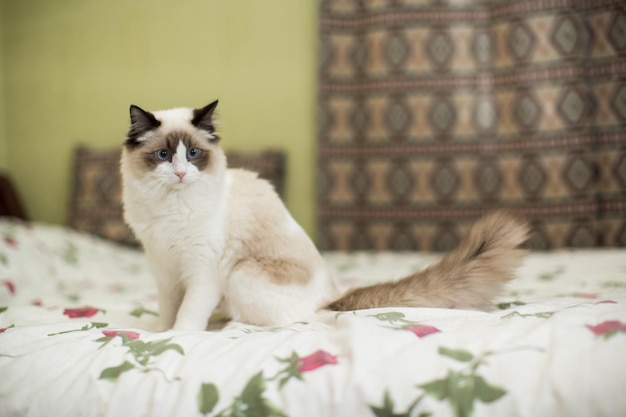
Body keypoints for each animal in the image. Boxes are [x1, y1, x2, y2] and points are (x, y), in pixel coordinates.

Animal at [118, 99, 528, 330]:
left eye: (193, 155)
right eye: (162, 156)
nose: (181, 173)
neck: (169, 208)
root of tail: (329, 300)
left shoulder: (202, 271)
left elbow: (187, 317)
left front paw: (178, 338)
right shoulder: (165, 268)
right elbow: (168, 311)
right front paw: (159, 334)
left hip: (241, 273)